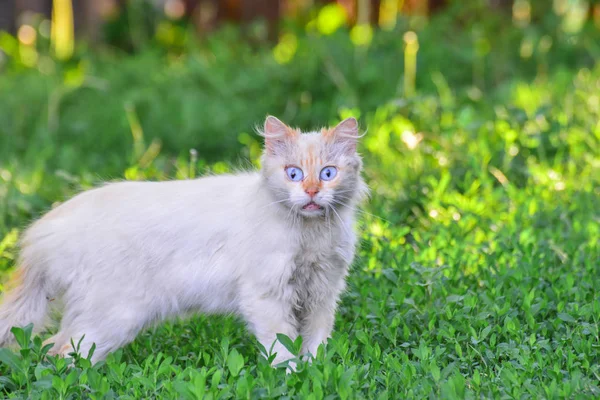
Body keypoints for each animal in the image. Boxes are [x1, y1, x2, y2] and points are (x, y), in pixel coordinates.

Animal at [0, 115, 366, 366]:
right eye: (293, 174)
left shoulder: (323, 295)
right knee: (63, 352)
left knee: (51, 348)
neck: (311, 234)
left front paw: (315, 374)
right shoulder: (268, 296)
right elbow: (282, 349)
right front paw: (291, 379)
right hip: (112, 318)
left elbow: (314, 347)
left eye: (328, 173)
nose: (312, 192)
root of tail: (49, 227)